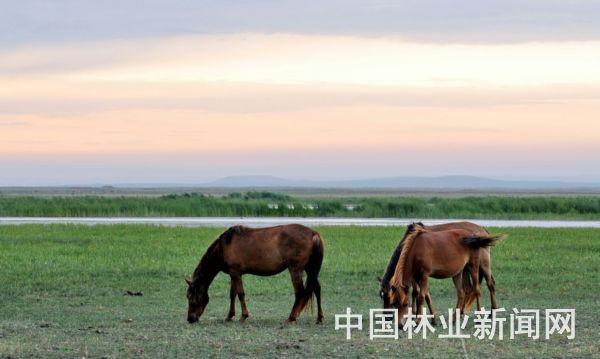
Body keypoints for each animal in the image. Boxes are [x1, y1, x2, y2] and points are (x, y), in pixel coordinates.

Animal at [185, 224, 324, 324]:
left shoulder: (235, 273)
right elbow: (232, 294)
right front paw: (229, 316)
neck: (223, 247)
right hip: (310, 269)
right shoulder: (234, 274)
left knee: (300, 292)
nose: (190, 319)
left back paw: (291, 317)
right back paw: (319, 318)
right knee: (316, 288)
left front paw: (243, 316)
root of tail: (313, 233)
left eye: (191, 297)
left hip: (295, 270)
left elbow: (240, 294)